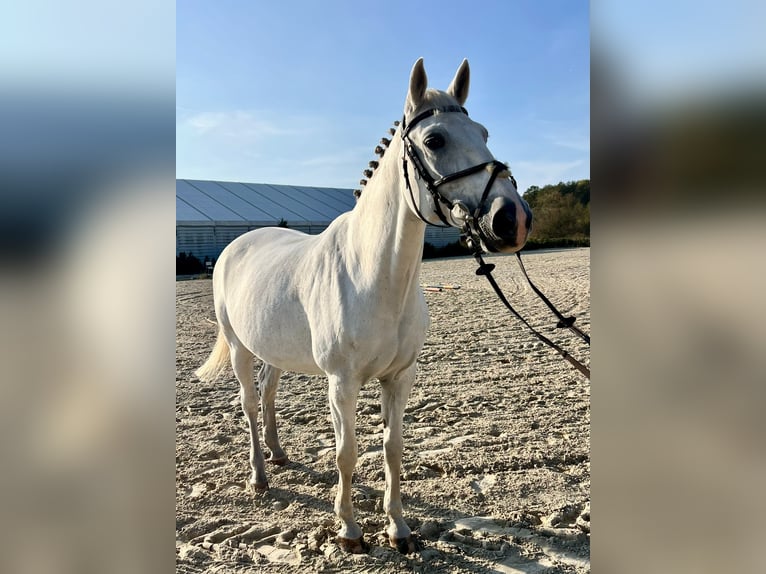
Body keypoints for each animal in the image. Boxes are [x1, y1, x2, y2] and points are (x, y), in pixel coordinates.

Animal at [196, 57, 536, 552]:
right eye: (435, 140)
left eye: (484, 133)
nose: (512, 219)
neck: (372, 276)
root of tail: (236, 246)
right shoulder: (342, 383)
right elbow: (347, 452)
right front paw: (350, 530)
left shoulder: (399, 377)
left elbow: (393, 448)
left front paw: (398, 528)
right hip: (240, 349)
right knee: (248, 404)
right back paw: (259, 476)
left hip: (273, 351)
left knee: (268, 392)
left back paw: (279, 455)